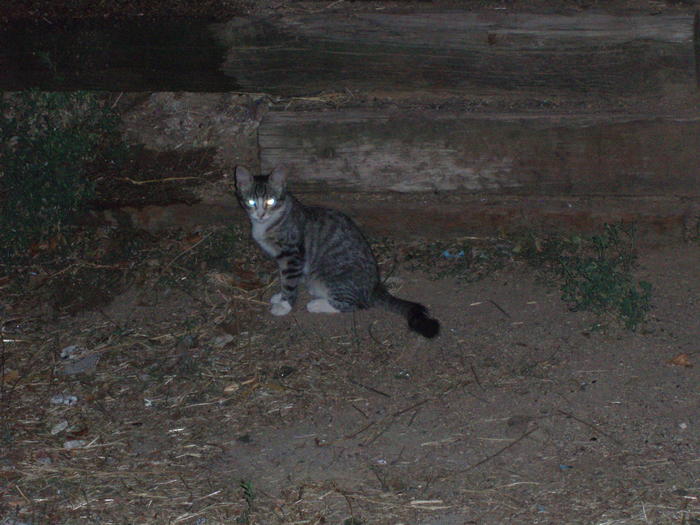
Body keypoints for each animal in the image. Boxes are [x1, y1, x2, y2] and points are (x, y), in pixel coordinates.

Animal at [238, 168, 440, 340]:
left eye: (270, 201)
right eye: (251, 202)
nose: (260, 214)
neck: (271, 222)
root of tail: (375, 286)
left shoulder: (292, 256)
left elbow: (289, 281)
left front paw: (285, 304)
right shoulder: (284, 260)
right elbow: (285, 279)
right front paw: (280, 296)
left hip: (332, 277)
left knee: (355, 305)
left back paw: (317, 304)